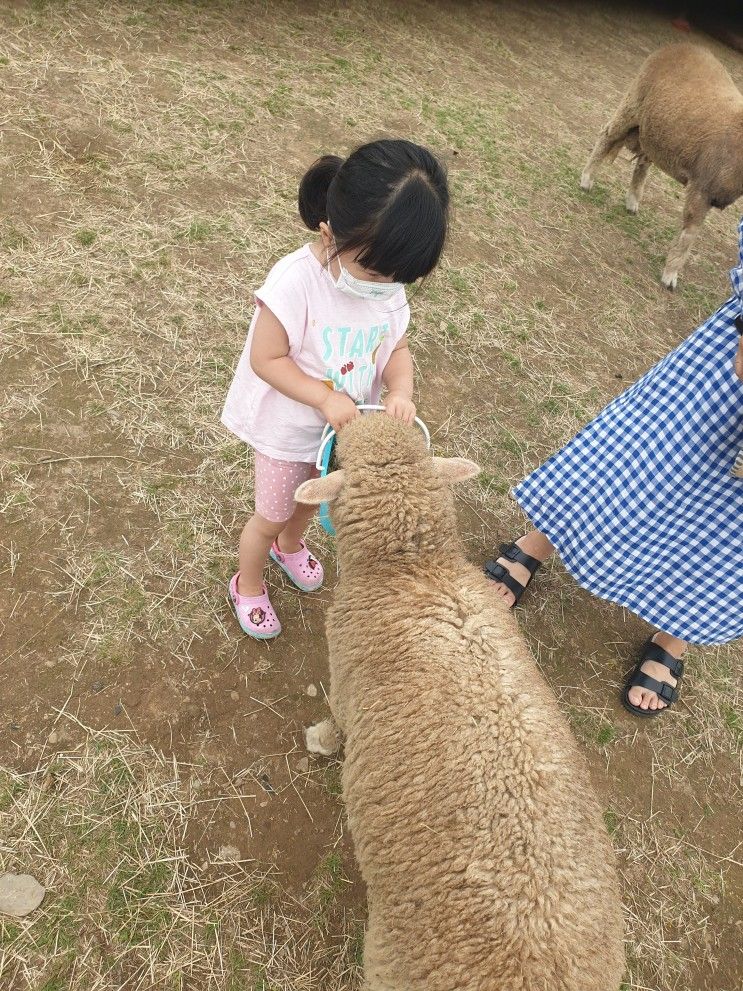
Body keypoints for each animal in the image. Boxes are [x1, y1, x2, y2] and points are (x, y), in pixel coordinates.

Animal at [296, 416, 628, 991]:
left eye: (341, 457)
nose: (345, 420)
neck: (416, 570)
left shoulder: (345, 681)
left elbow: (337, 724)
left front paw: (320, 740)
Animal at [580, 43, 743, 290]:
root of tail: (675, 46)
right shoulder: (702, 188)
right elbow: (687, 239)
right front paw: (670, 276)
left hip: (655, 131)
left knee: (642, 165)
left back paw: (632, 202)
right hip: (633, 103)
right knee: (607, 136)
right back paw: (587, 179)